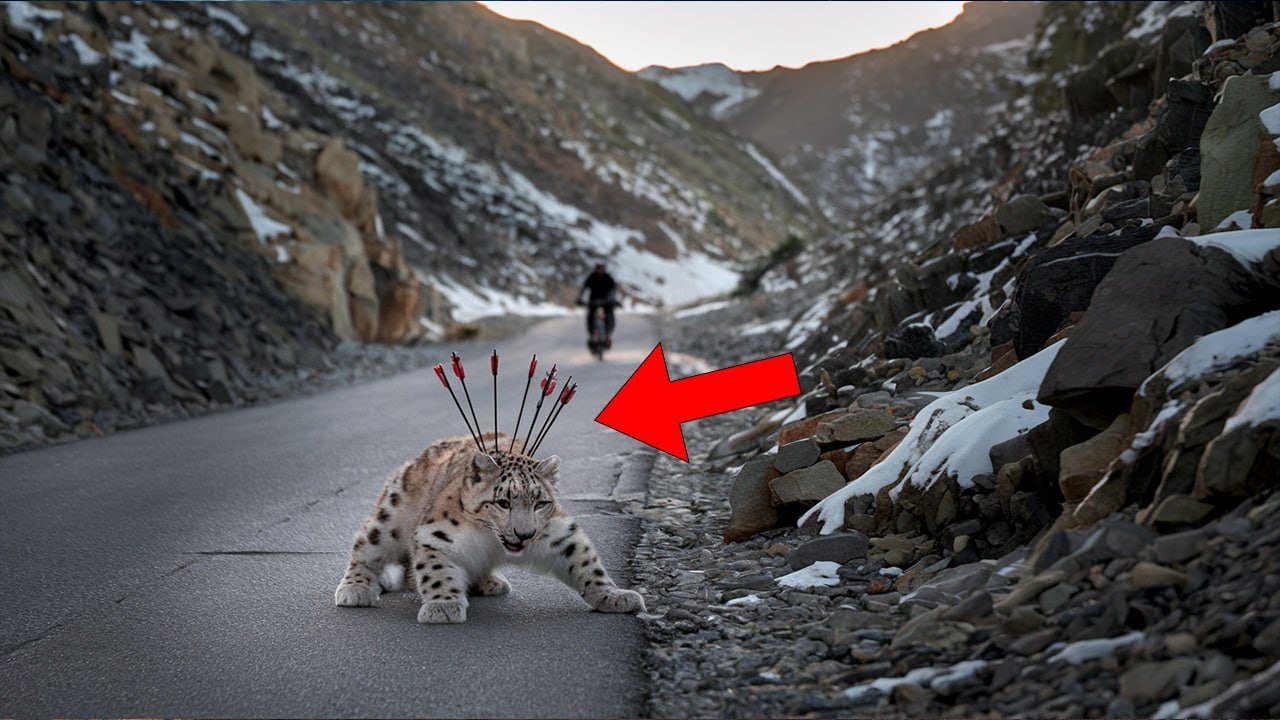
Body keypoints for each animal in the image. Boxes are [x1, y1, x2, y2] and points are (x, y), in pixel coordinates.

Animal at [333, 431, 645, 623]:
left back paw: (488, 582)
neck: (490, 541)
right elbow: (436, 572)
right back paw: (355, 588)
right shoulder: (434, 535)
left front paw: (612, 596)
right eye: (503, 502)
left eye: (540, 503)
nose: (524, 534)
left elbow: (587, 564)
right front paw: (443, 605)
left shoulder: (559, 533)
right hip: (390, 516)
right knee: (366, 546)